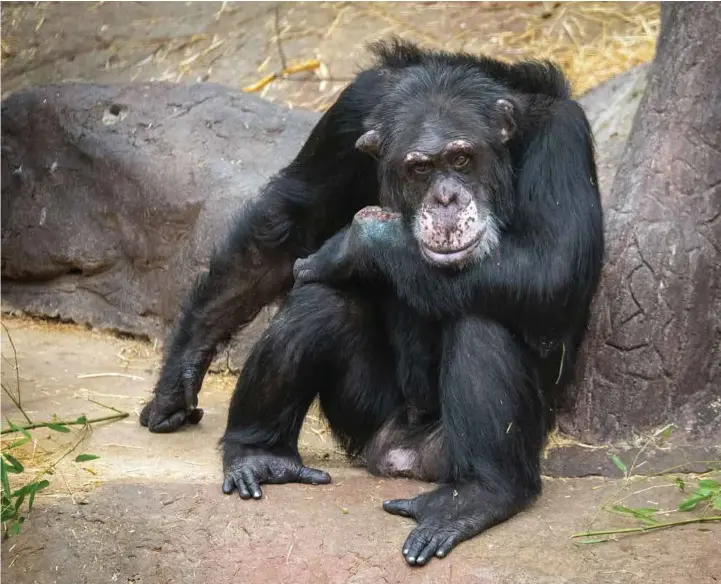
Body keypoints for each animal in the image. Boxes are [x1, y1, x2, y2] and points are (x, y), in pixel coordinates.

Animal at [139, 40, 600, 564]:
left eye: (463, 159)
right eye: (419, 168)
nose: (445, 198)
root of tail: (401, 458)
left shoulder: (562, 136)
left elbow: (552, 266)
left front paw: (359, 242)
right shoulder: (349, 111)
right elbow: (287, 227)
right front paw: (179, 375)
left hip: (450, 452)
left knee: (483, 318)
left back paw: (479, 495)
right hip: (368, 424)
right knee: (320, 302)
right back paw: (258, 453)